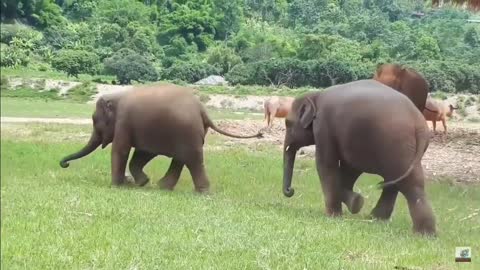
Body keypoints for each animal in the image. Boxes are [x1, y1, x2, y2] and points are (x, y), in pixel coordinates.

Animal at [60, 84, 264, 192]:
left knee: (192, 160)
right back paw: (163, 187)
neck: (117, 96)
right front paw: (140, 182)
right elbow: (143, 153)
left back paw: (202, 192)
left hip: (187, 132)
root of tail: (203, 111)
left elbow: (121, 150)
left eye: (94, 120)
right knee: (182, 159)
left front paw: (117, 185)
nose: (65, 164)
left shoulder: (124, 122)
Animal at [284, 79, 436, 235]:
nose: (291, 190)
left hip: (396, 144)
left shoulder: (323, 127)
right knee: (401, 181)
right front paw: (356, 202)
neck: (316, 95)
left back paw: (421, 232)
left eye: (287, 123)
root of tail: (418, 123)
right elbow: (349, 169)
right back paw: (379, 219)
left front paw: (335, 214)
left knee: (406, 183)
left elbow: (326, 164)